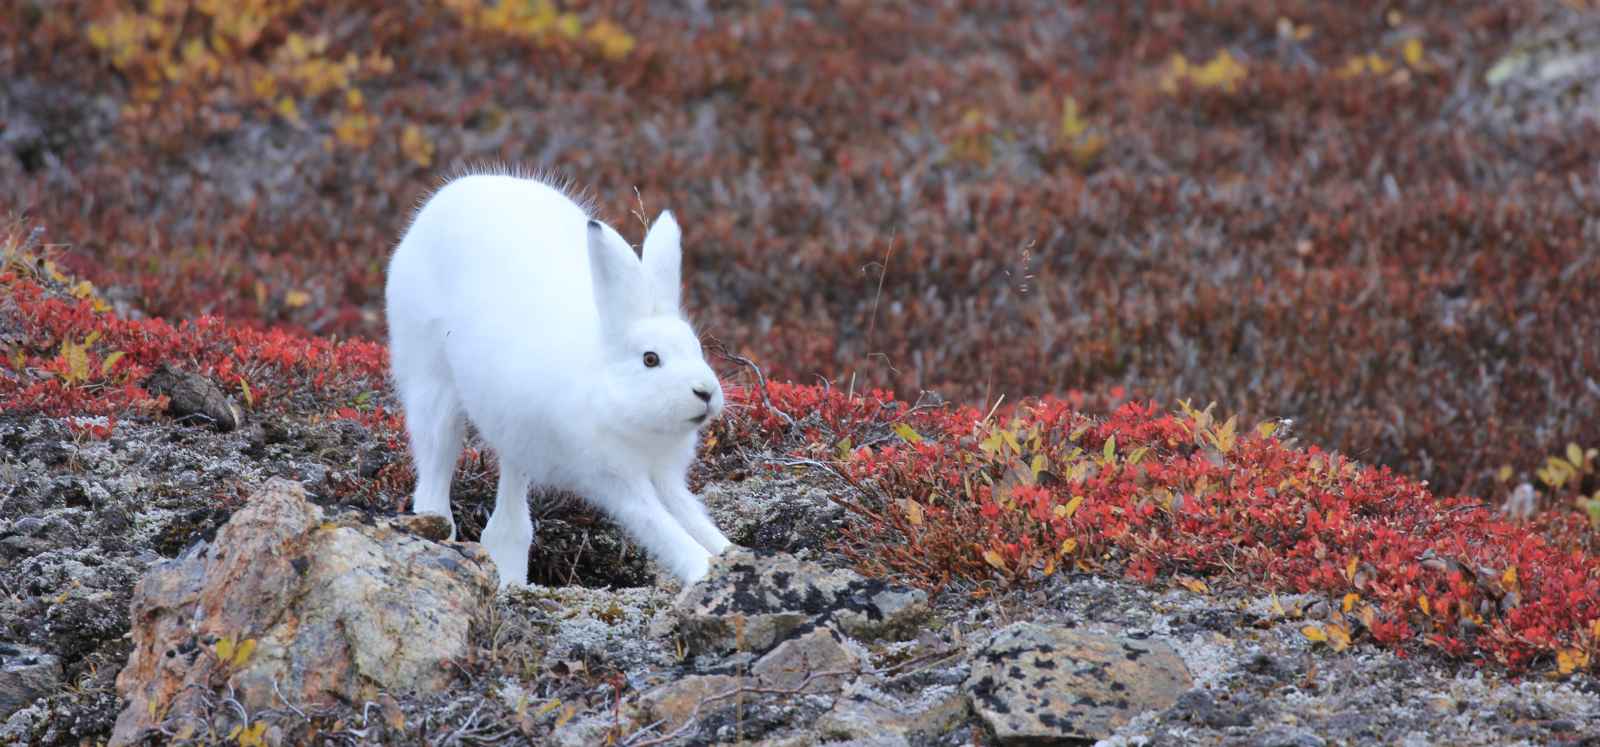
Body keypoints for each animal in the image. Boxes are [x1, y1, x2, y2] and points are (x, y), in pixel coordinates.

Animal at [385, 171, 731, 588]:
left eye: (696, 348)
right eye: (651, 359)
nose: (706, 392)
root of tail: (449, 194)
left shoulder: (666, 478)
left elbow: (692, 517)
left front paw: (732, 553)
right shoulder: (617, 480)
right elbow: (663, 529)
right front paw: (705, 570)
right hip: (432, 383)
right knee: (435, 467)